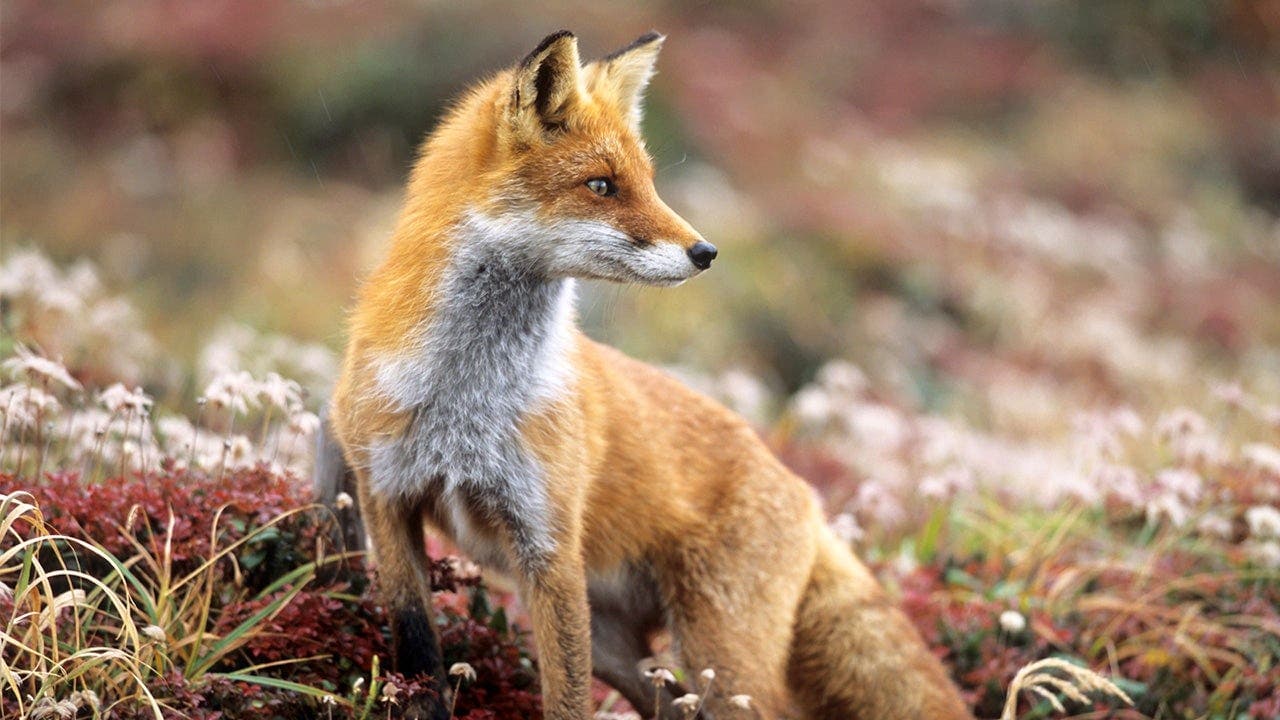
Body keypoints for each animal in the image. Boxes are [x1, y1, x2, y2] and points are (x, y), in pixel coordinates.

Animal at [320, 30, 974, 720]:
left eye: (650, 183)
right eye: (602, 185)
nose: (706, 252)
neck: (465, 395)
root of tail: (806, 493)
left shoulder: (548, 544)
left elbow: (566, 703)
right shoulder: (386, 497)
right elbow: (417, 647)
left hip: (721, 660)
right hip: (623, 650)